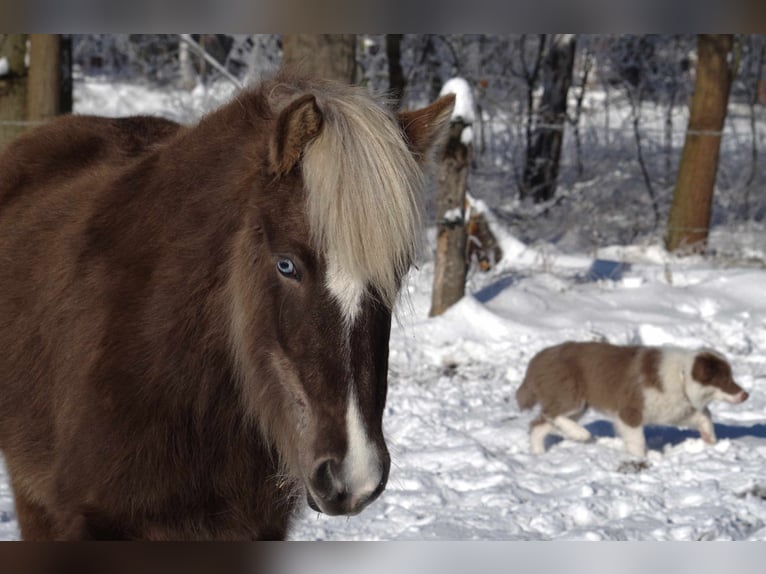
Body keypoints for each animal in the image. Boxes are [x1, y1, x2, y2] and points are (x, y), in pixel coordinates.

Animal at [516, 342, 752, 460]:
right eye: (725, 379)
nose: (745, 395)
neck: (682, 375)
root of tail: (537, 358)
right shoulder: (630, 411)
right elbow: (637, 440)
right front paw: (641, 460)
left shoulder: (673, 408)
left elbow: (704, 416)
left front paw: (710, 441)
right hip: (570, 394)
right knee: (551, 414)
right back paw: (581, 434)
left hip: (572, 402)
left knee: (539, 423)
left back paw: (538, 453)